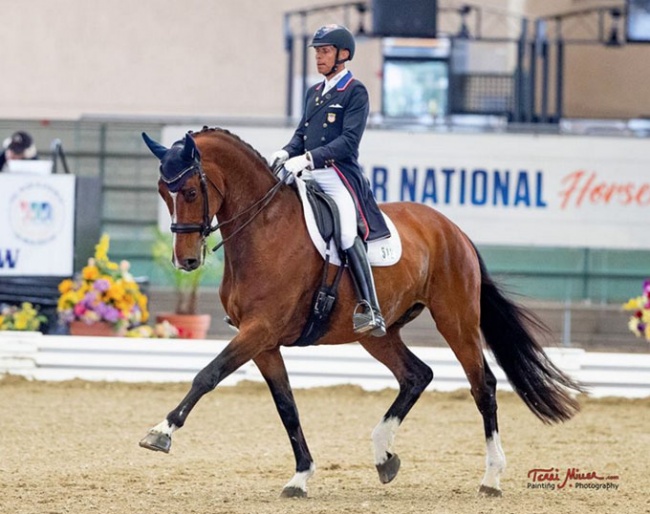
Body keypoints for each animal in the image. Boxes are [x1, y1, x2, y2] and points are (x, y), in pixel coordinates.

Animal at [139, 127, 580, 496]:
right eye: (162, 191)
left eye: (190, 191)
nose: (186, 261)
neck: (264, 228)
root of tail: (453, 230)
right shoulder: (262, 341)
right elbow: (286, 406)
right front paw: (300, 477)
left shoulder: (259, 330)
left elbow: (207, 375)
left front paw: (161, 432)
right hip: (376, 334)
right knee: (417, 375)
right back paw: (384, 455)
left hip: (456, 320)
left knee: (482, 385)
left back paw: (490, 478)